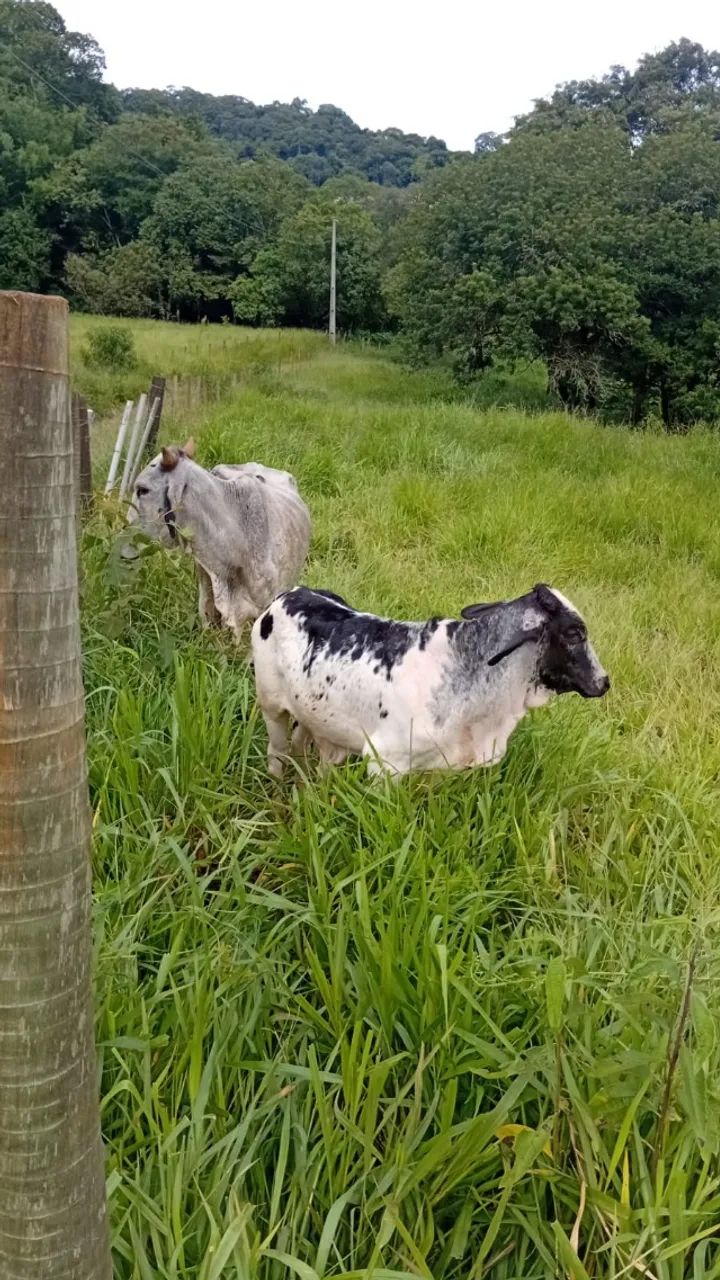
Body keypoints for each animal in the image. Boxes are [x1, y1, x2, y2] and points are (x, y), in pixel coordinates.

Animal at [251, 583, 610, 778]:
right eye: (574, 633)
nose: (604, 681)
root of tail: (288, 595)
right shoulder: (385, 763)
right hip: (271, 707)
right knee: (277, 751)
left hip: (316, 720)